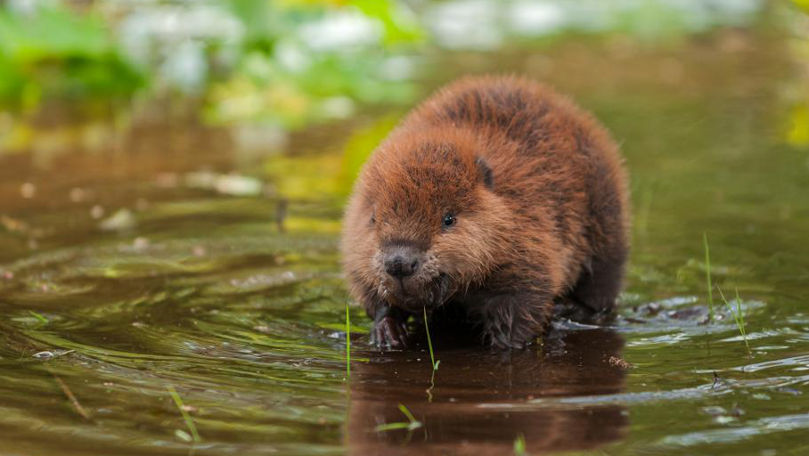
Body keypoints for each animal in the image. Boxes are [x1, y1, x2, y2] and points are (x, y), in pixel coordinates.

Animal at [338, 76, 628, 350]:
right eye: (373, 218)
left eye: (448, 219)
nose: (399, 263)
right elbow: (373, 295)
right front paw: (387, 332)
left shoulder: (529, 239)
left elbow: (523, 303)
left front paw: (505, 343)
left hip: (606, 220)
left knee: (601, 288)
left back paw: (569, 310)